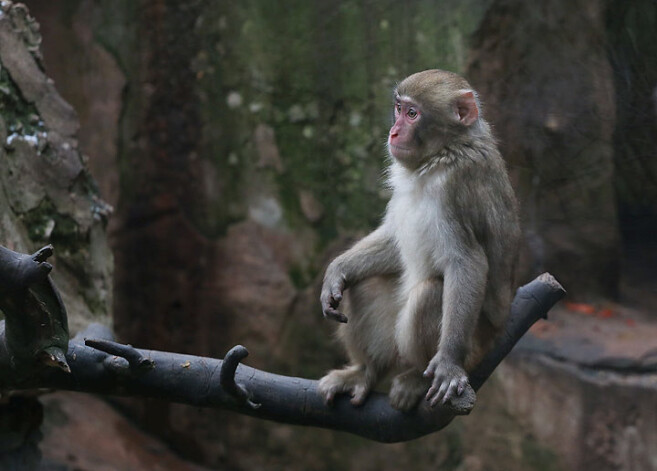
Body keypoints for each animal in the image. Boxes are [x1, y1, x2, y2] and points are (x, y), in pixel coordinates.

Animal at [316, 68, 520, 412]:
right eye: (399, 108)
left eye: (413, 114)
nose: (394, 132)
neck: (443, 154)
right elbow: (394, 243)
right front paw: (336, 270)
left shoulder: (457, 187)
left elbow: (467, 262)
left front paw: (448, 364)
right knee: (364, 286)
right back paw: (366, 371)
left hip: (476, 349)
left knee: (429, 294)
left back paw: (417, 377)